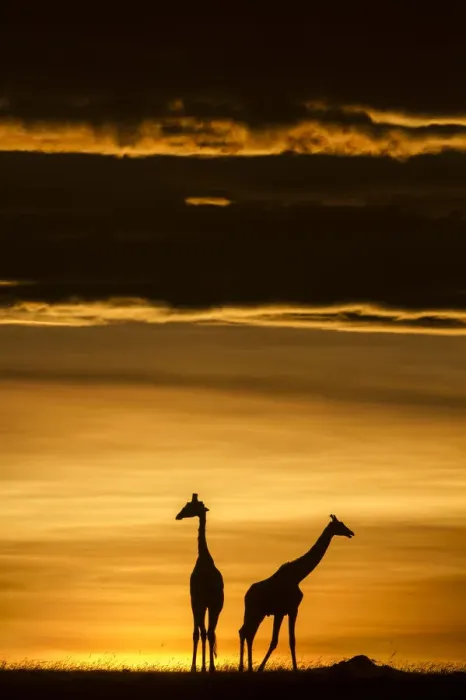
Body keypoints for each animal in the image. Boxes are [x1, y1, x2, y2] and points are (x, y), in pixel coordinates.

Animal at [176, 493, 224, 672]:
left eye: (190, 506)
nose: (178, 515)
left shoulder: (203, 602)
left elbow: (203, 633)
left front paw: (203, 667)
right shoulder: (201, 602)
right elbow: (199, 633)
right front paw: (197, 667)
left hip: (211, 605)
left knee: (208, 632)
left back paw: (208, 667)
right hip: (208, 605)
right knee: (206, 632)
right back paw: (206, 667)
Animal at [239, 514, 355, 672]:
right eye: (340, 524)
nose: (351, 533)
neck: (298, 575)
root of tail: (246, 595)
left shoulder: (289, 610)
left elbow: (290, 640)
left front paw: (293, 667)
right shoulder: (285, 610)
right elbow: (277, 640)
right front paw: (263, 668)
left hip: (258, 613)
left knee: (246, 632)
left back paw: (246, 668)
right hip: (255, 611)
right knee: (246, 632)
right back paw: (246, 668)